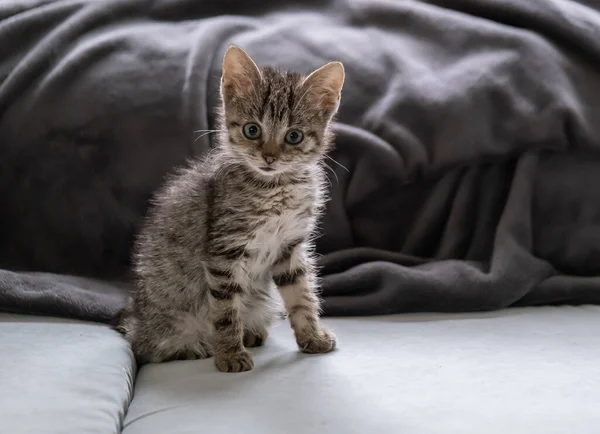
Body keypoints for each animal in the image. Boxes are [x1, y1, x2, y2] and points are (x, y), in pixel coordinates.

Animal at [116, 45, 342, 372]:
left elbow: (302, 295)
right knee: (146, 348)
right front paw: (230, 354)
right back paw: (199, 346)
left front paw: (312, 336)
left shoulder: (290, 247)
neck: (276, 189)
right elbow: (225, 310)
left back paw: (251, 333)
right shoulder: (224, 252)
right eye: (252, 130)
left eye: (294, 136)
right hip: (163, 322)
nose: (269, 157)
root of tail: (136, 320)